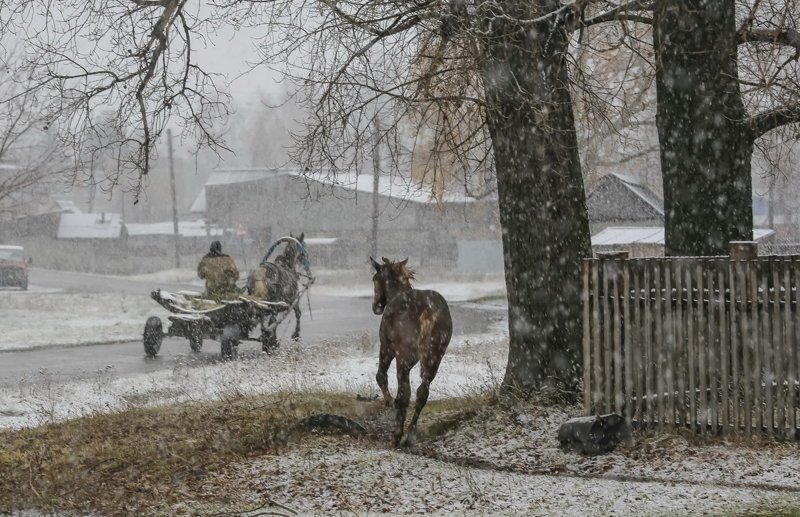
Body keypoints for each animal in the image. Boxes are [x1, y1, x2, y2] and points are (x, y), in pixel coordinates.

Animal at [142, 236, 310, 356]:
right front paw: (292, 336)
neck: (286, 265)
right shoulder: (291, 300)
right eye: (304, 251)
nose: (308, 269)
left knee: (159, 329)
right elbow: (297, 314)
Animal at [372, 256, 454, 446]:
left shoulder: (386, 347)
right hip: (435, 357)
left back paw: (397, 434)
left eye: (374, 278)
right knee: (422, 393)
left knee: (405, 394)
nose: (376, 306)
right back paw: (410, 434)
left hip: (403, 357)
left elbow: (381, 375)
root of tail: (429, 311)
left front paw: (388, 401)